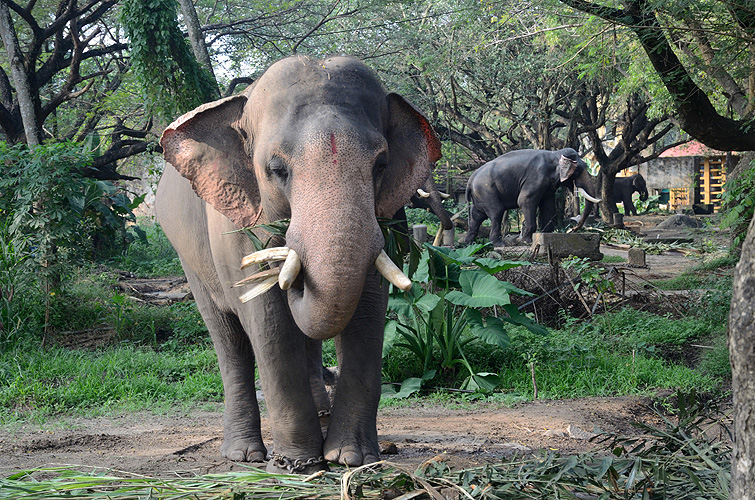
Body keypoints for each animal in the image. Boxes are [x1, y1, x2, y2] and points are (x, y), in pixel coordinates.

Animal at [158, 56, 442, 474]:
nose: (296, 276)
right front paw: (298, 464)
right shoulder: (236, 226)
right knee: (229, 339)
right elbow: (269, 321)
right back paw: (243, 454)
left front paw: (351, 459)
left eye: (381, 164)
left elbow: (368, 311)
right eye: (277, 169)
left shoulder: (388, 215)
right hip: (190, 261)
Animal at [460, 146, 604, 246]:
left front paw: (546, 235)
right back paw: (499, 244)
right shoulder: (537, 176)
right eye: (578, 170)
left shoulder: (547, 185)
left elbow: (548, 205)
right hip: (486, 190)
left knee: (476, 215)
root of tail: (470, 179)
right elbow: (524, 200)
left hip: (479, 195)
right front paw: (525, 241)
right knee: (496, 211)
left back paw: (468, 243)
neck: (555, 154)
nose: (572, 229)